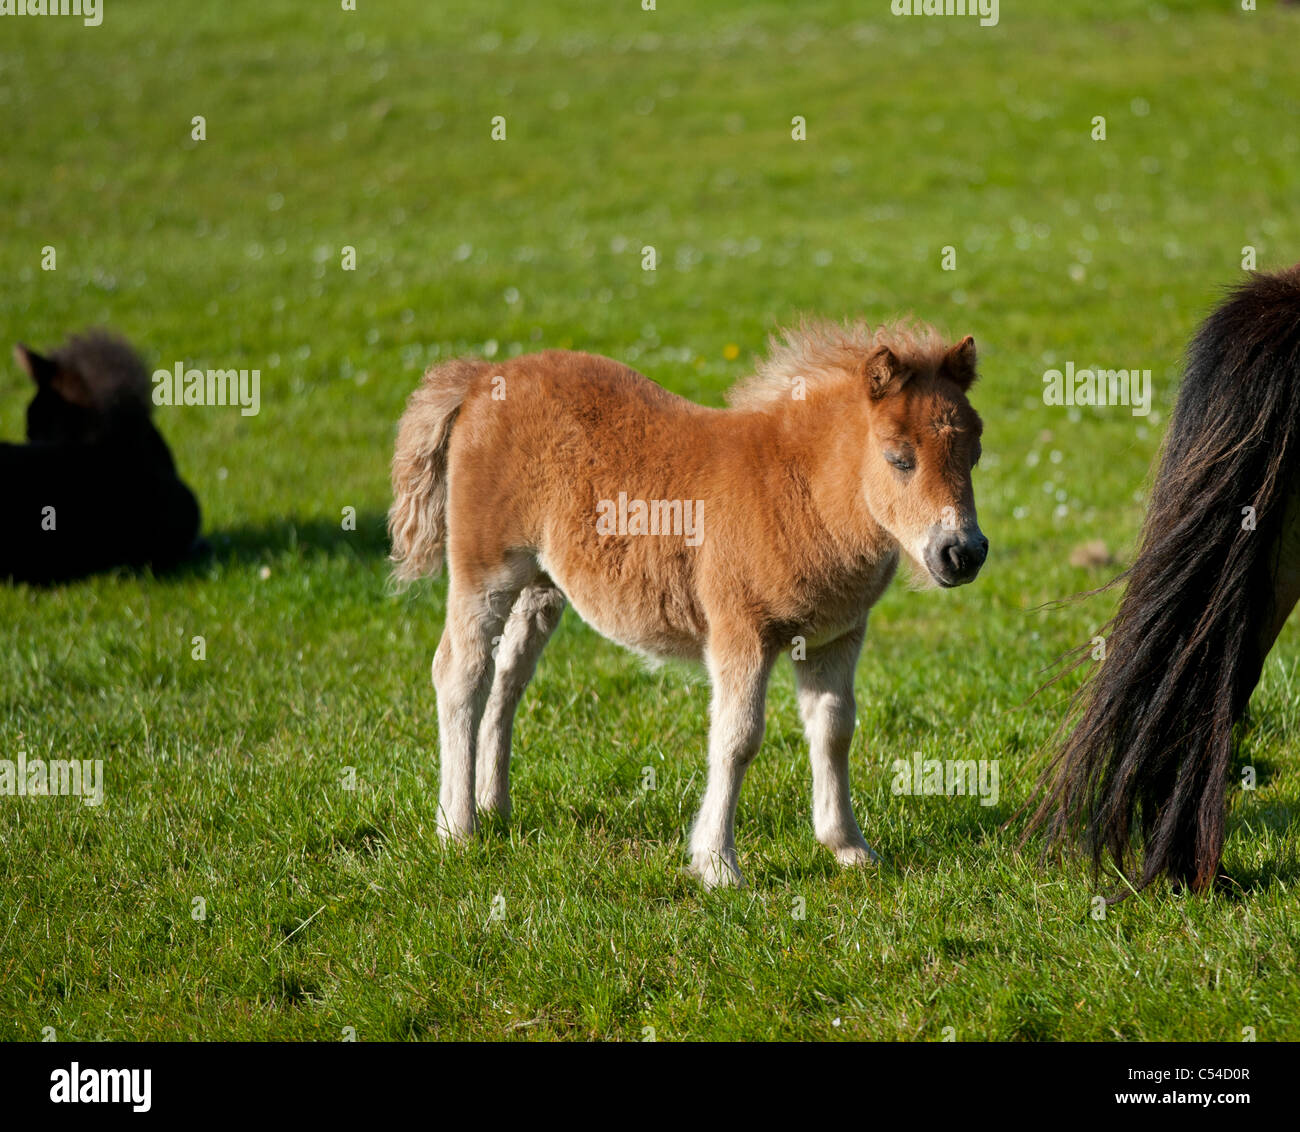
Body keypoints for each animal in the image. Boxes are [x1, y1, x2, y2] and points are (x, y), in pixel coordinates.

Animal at [387, 323, 982, 888]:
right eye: (899, 459)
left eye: (974, 454)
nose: (963, 553)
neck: (797, 492)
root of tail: (481, 378)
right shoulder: (740, 631)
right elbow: (737, 739)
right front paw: (717, 864)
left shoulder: (834, 638)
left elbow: (834, 732)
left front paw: (849, 849)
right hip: (485, 571)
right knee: (461, 674)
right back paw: (457, 827)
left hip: (540, 586)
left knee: (508, 679)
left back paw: (495, 807)